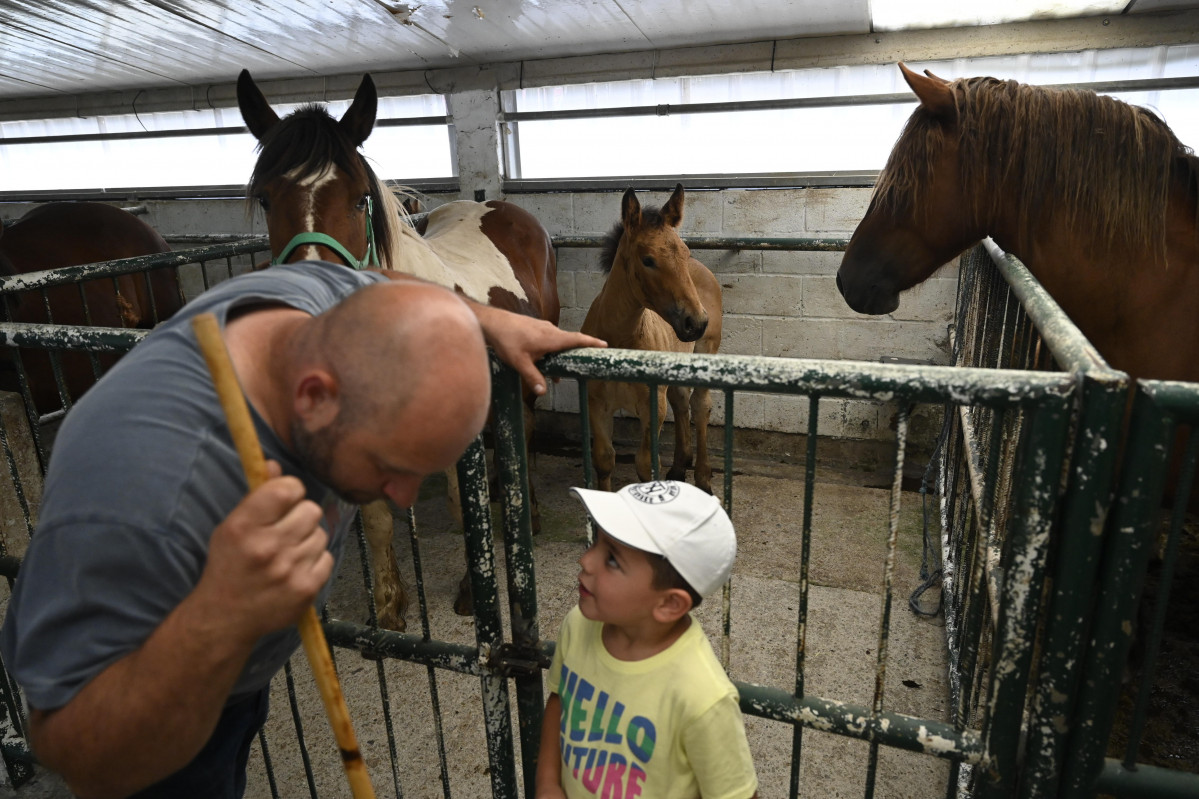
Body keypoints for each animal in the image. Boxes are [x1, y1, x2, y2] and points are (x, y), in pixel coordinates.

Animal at [238, 68, 565, 628]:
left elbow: (462, 507)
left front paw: (470, 591)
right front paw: (390, 606)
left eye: (358, 198)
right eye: (266, 198)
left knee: (521, 435)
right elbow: (378, 521)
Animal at [580, 184, 719, 491]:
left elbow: (645, 465)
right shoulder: (597, 405)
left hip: (706, 350)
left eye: (685, 252)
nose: (696, 322)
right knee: (681, 401)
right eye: (648, 260)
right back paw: (679, 466)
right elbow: (604, 460)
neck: (621, 341)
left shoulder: (652, 407)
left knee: (700, 406)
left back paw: (703, 477)